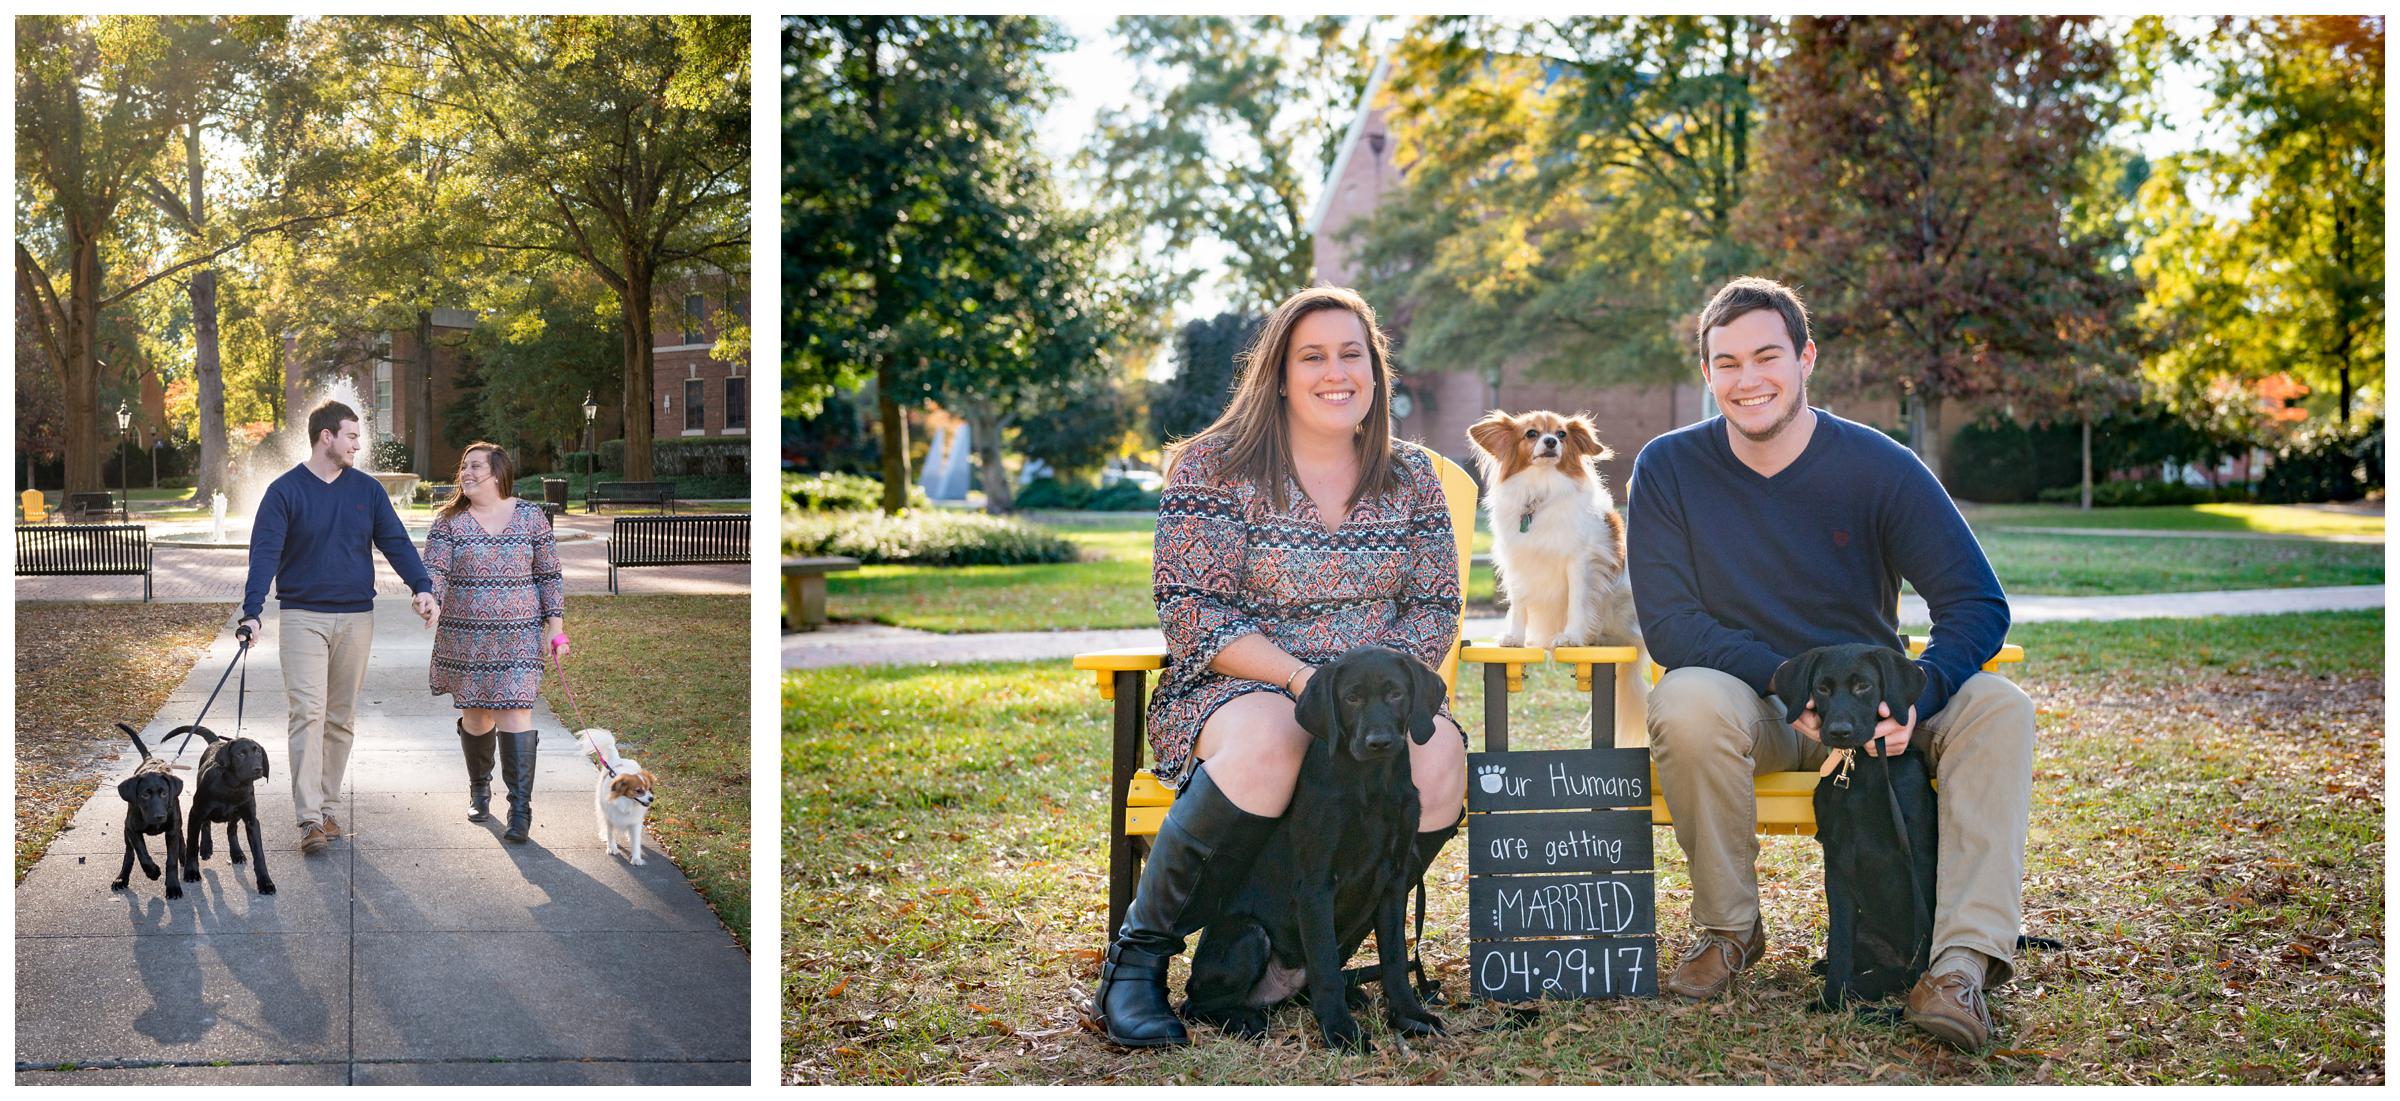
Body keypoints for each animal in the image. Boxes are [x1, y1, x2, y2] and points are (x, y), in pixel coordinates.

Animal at [109, 729, 187, 901]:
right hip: (126, 831)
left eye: (164, 793)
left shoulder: (172, 829)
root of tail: (151, 759)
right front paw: (152, 872)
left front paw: (173, 886)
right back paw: (122, 878)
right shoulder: (131, 829)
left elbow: (171, 860)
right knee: (129, 853)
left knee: (181, 836)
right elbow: (141, 853)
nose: (159, 816)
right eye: (144, 795)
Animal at [176, 724, 274, 897]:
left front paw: (265, 882)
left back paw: (236, 852)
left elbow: (259, 855)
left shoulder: (251, 821)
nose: (258, 769)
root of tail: (216, 742)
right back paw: (206, 847)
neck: (232, 786)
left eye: (258, 753)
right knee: (206, 824)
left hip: (236, 814)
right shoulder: (195, 814)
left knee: (231, 829)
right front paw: (191, 871)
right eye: (241, 754)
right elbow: (192, 845)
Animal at [1180, 652, 1440, 1055]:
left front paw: (1410, 1015)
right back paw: (1243, 1019)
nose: (1379, 742)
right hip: (1247, 934)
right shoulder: (1316, 885)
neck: (1372, 784)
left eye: (1396, 694)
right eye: (1351, 698)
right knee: (1196, 1004)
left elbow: (1395, 959)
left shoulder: (1394, 883)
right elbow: (1326, 968)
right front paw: (1341, 1032)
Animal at [1776, 642, 1939, 1012]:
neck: (1857, 768)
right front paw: (1831, 997)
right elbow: (1839, 942)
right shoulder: (1836, 861)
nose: (1839, 732)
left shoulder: (1919, 856)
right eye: (1822, 689)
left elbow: (1925, 935)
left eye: (1863, 686)